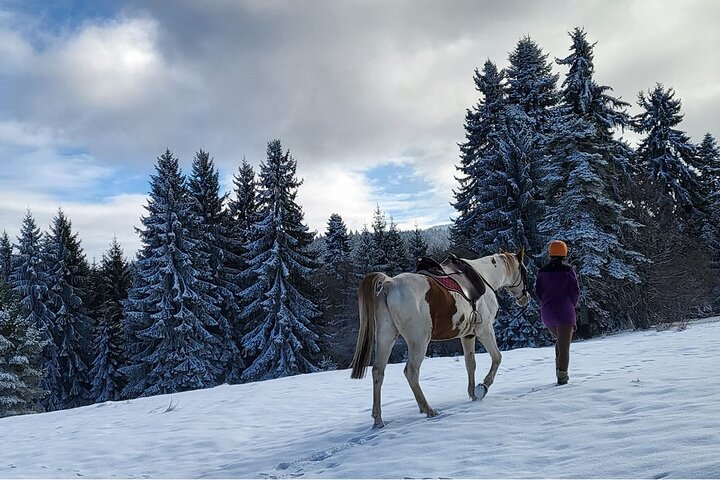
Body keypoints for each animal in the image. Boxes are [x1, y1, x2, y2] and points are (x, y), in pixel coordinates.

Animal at [349, 249, 530, 428]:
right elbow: (497, 358)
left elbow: (470, 364)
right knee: (411, 372)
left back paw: (378, 419)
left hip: (386, 337)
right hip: (419, 341)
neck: (484, 275)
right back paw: (428, 410)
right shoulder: (485, 330)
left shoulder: (468, 335)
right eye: (524, 270)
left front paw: (472, 394)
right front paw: (482, 387)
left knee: (378, 372)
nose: (525, 297)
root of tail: (389, 283)